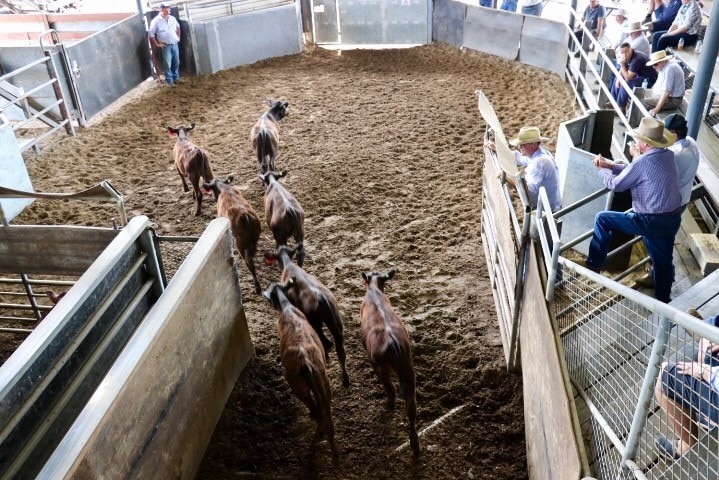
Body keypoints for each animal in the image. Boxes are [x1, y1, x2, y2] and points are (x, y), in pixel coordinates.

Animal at [262, 282, 338, 458]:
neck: (287, 307)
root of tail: (305, 363)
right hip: (324, 385)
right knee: (325, 414)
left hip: (298, 387)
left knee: (314, 408)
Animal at [268, 246, 352, 388]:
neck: (289, 265)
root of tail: (321, 297)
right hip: (336, 324)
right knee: (340, 349)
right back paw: (345, 380)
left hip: (316, 323)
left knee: (326, 343)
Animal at [360, 270, 422, 458]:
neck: (374, 290)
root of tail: (393, 342)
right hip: (408, 370)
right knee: (411, 407)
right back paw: (415, 446)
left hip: (381, 367)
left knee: (391, 389)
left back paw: (389, 406)